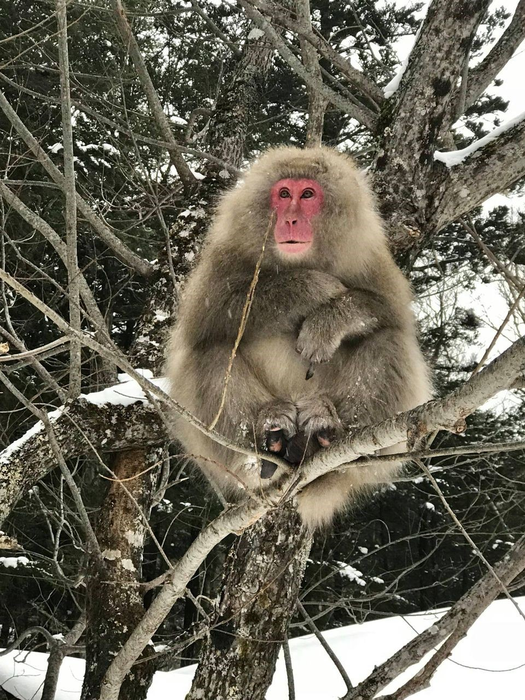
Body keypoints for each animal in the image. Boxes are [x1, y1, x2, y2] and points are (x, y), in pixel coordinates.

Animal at [167, 146, 431, 529]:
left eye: (307, 194)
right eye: (283, 194)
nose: (290, 219)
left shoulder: (370, 259)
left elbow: (390, 314)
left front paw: (328, 322)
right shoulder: (223, 257)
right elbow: (206, 320)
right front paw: (311, 287)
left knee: (388, 341)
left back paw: (325, 433)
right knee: (209, 354)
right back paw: (271, 436)